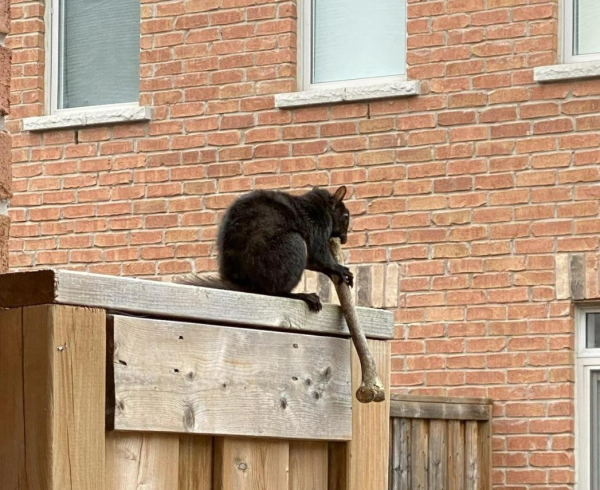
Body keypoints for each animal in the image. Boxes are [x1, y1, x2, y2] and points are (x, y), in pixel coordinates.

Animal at [180, 186, 354, 312]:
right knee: (277, 292)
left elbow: (314, 261)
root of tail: (249, 284)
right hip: (292, 246)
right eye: (345, 216)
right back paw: (302, 296)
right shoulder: (318, 227)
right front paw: (339, 269)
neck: (320, 206)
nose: (345, 239)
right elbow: (321, 256)